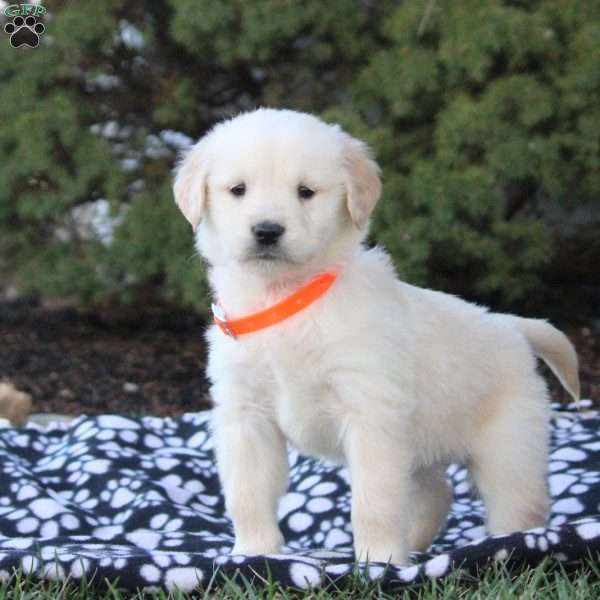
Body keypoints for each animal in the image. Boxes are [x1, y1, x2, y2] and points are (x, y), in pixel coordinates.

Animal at [173, 108, 580, 564]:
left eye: (305, 192)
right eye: (238, 190)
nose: (266, 231)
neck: (288, 296)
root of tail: (510, 325)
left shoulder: (371, 413)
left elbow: (374, 500)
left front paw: (380, 561)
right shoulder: (247, 415)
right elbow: (247, 492)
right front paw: (253, 553)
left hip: (509, 445)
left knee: (519, 502)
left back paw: (515, 543)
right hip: (421, 445)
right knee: (436, 493)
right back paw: (417, 544)